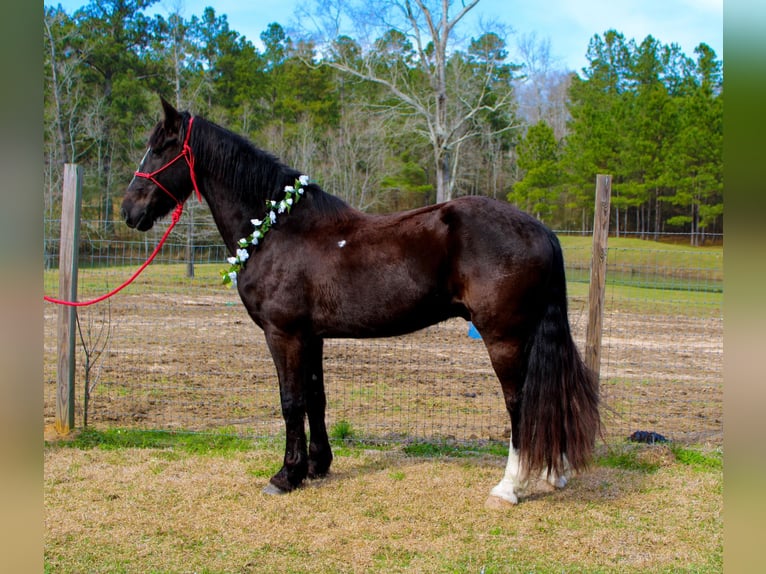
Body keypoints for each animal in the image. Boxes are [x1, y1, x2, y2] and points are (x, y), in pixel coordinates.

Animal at [121, 100, 600, 508]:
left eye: (160, 148)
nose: (128, 209)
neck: (276, 228)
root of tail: (541, 230)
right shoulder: (311, 337)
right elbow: (316, 397)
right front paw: (317, 466)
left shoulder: (283, 334)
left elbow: (290, 400)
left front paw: (285, 476)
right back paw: (552, 474)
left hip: (504, 338)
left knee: (519, 402)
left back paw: (509, 487)